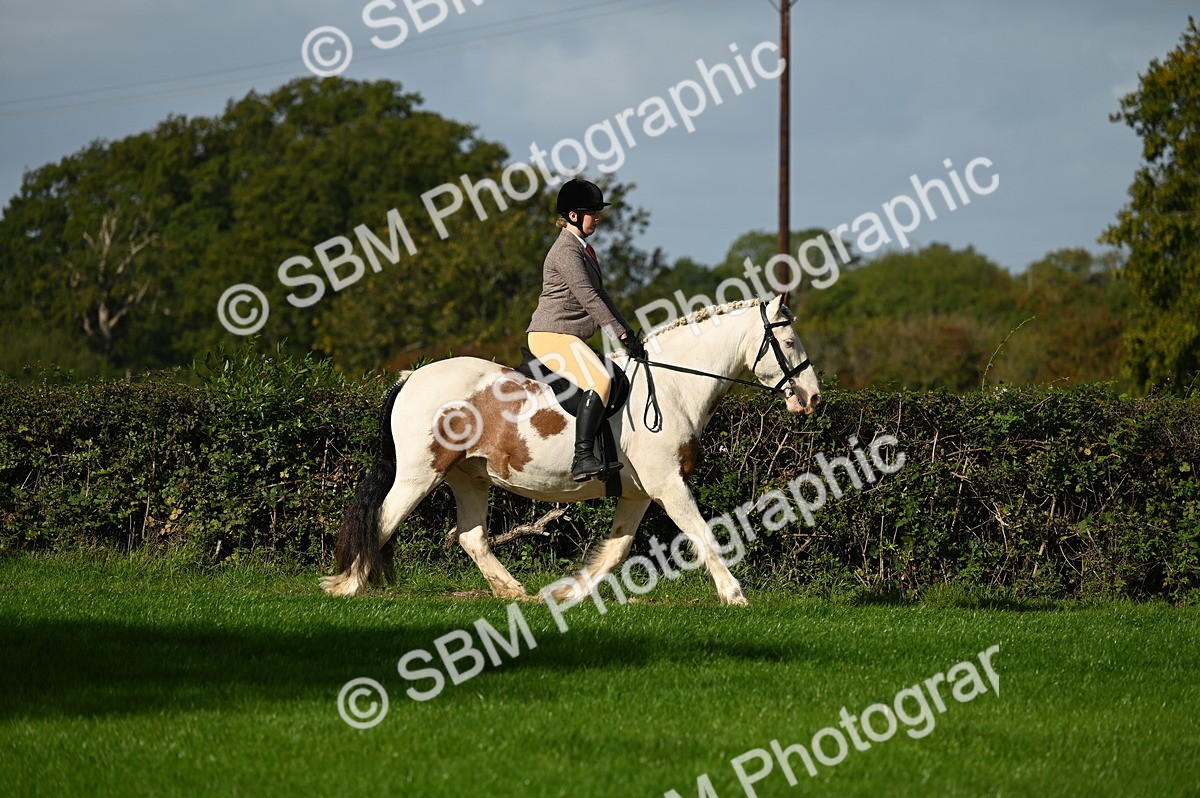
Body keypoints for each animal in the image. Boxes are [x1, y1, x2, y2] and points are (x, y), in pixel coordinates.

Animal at [320, 294, 822, 606]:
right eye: (788, 341)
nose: (813, 398)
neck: (674, 386)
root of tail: (413, 376)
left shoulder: (639, 493)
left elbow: (617, 549)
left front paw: (568, 594)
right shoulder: (668, 484)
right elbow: (702, 533)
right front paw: (734, 595)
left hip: (469, 476)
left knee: (471, 536)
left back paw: (513, 592)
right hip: (420, 473)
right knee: (384, 518)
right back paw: (348, 585)